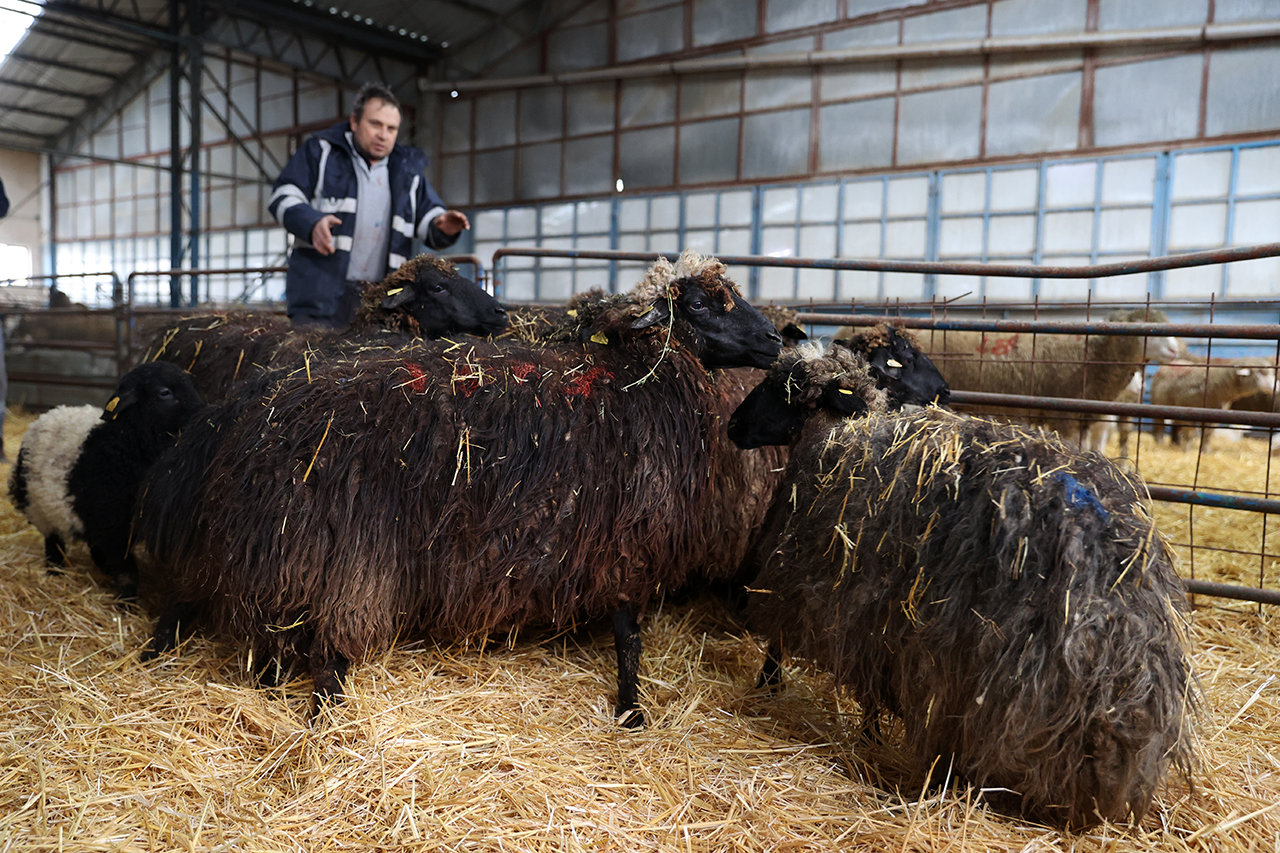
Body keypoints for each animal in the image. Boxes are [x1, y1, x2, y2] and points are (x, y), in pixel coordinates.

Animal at [8, 362, 205, 598]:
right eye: (164, 392)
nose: (202, 413)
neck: (125, 442)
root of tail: (48, 414)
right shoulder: (113, 524)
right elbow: (128, 572)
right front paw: (126, 601)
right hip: (40, 509)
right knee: (54, 543)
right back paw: (55, 571)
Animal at [727, 343, 1196, 829]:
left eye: (782, 389)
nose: (732, 427)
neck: (837, 429)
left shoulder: (823, 572)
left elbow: (789, 642)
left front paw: (772, 688)